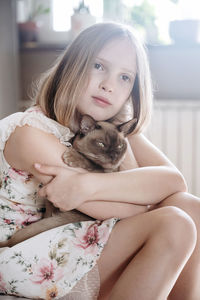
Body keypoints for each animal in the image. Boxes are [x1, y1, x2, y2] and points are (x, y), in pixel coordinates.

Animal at [0, 113, 137, 247]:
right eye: (101, 144)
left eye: (120, 146)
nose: (114, 156)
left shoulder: (106, 172)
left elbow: (92, 163)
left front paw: (71, 156)